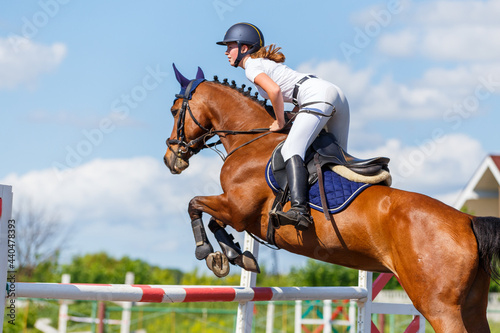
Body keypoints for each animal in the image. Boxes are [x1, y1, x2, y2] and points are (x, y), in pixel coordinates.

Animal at [164, 65, 500, 332]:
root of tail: (468, 220)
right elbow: (215, 220)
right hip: (472, 307)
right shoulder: (238, 213)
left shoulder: (238, 209)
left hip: (438, 307)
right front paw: (234, 255)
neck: (253, 139)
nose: (171, 159)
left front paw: (210, 253)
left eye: (174, 111)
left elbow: (195, 205)